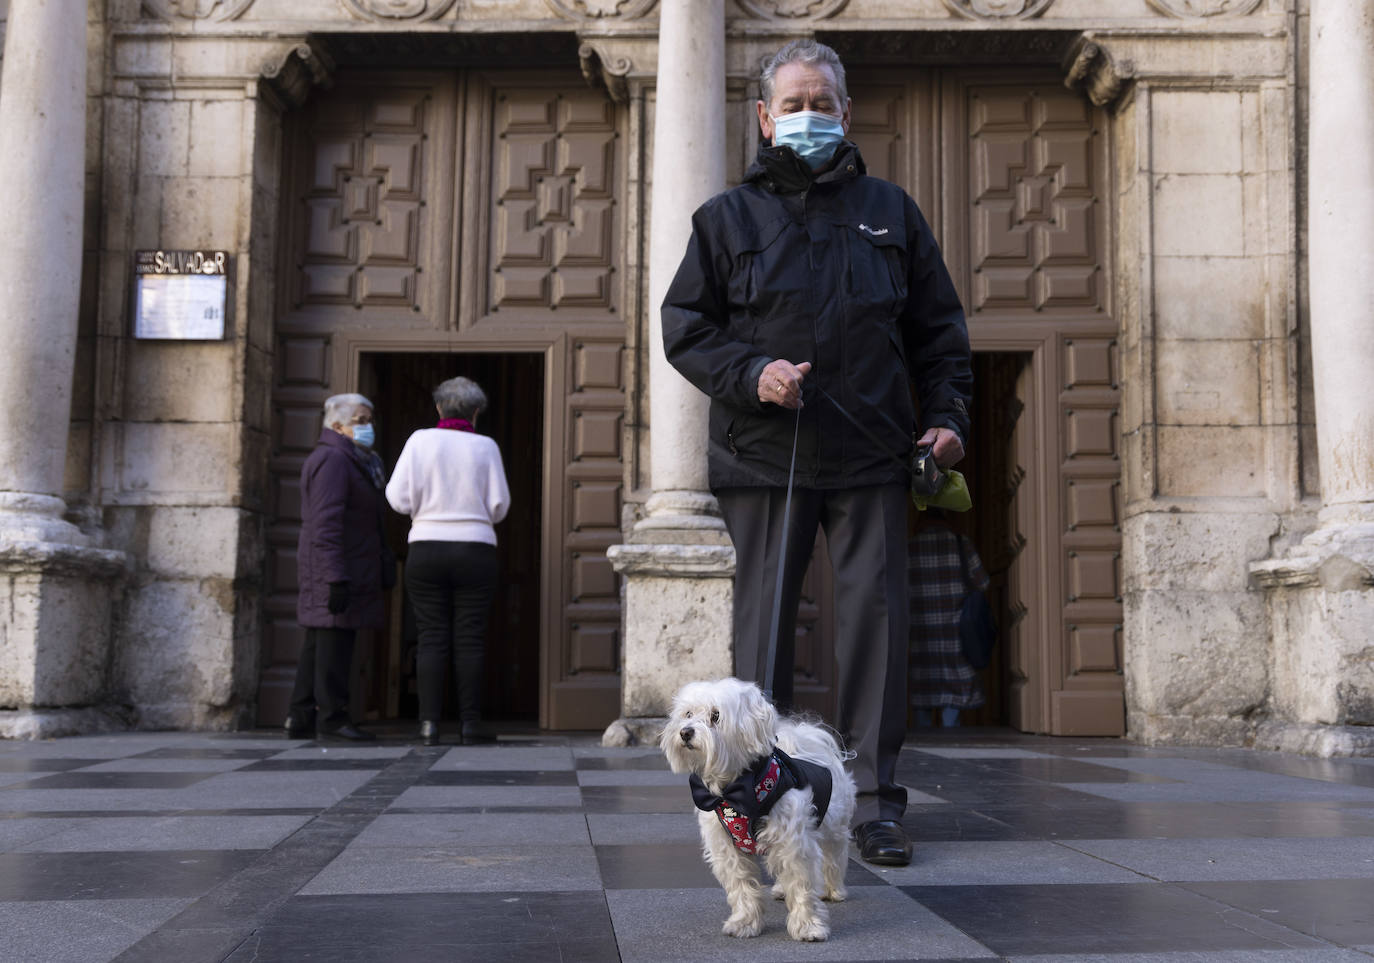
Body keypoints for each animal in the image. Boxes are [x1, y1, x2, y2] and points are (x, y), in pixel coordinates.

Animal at [656, 675, 857, 939]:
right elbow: (742, 886)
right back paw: (782, 889)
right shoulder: (728, 848)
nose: (685, 732)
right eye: (687, 713)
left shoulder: (794, 843)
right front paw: (745, 922)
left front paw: (808, 926)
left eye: (716, 716)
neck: (736, 792)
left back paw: (834, 890)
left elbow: (802, 884)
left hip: (835, 825)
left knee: (834, 855)